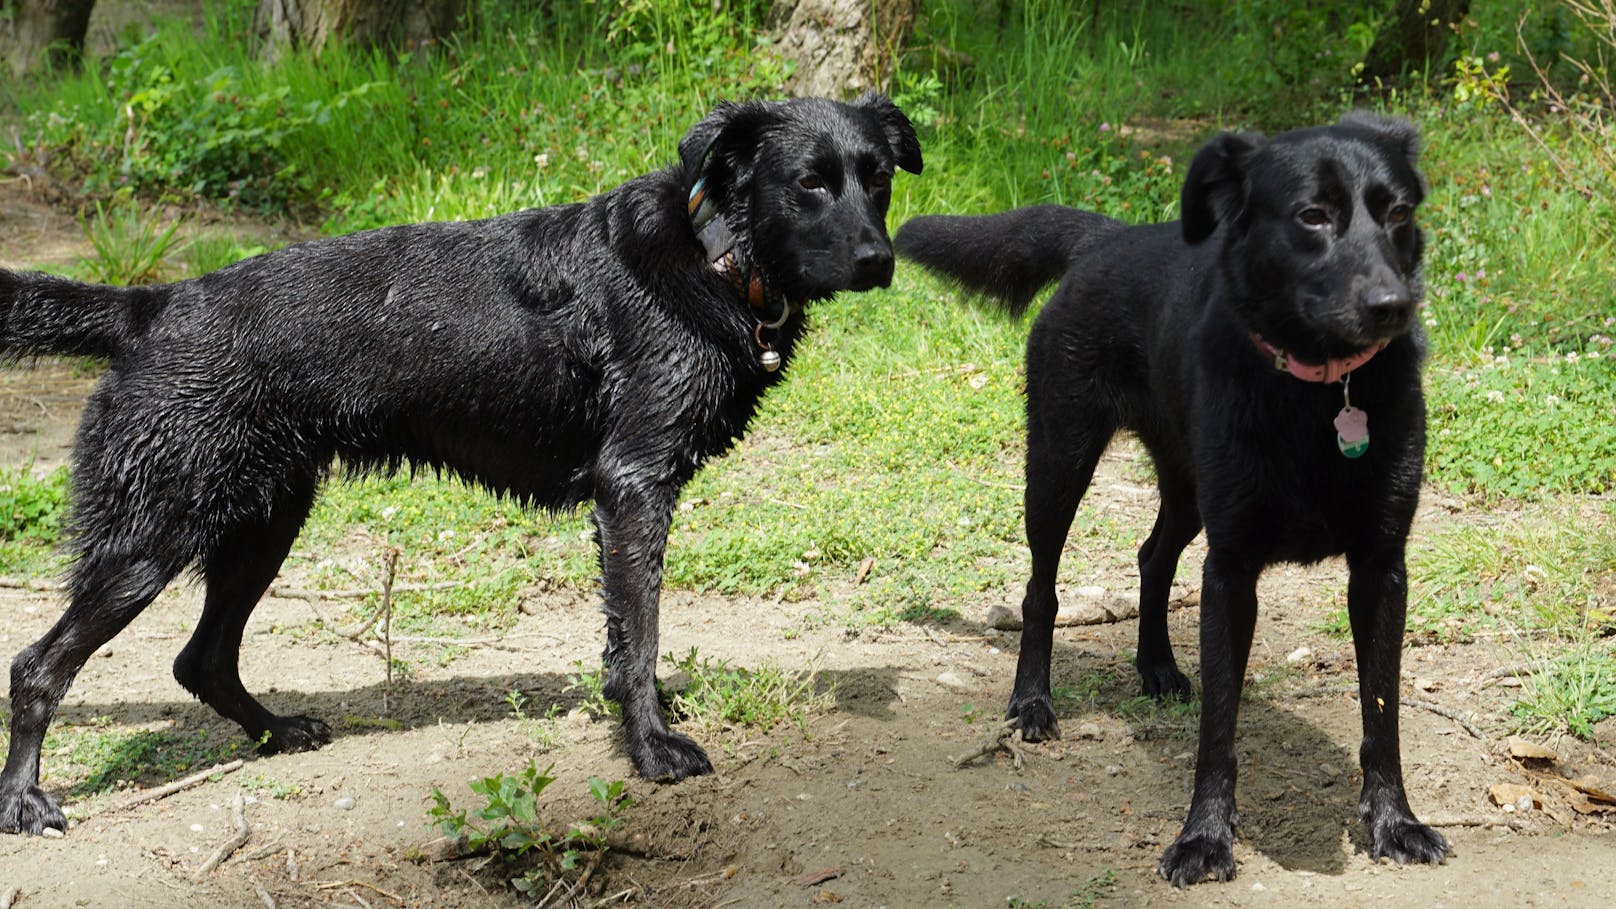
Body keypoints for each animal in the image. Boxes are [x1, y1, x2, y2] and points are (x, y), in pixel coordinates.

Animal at [3, 93, 924, 834]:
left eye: (877, 178)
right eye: (808, 182)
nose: (881, 262)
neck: (715, 253)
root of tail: (152, 304)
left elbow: (627, 642)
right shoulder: (633, 488)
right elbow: (638, 638)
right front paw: (651, 746)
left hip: (264, 523)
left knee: (201, 658)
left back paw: (279, 733)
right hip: (151, 540)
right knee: (37, 667)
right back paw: (24, 802)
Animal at [898, 113, 1454, 886]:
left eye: (1399, 212)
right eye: (1313, 215)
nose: (1392, 306)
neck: (1317, 394)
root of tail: (1105, 235)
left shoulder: (1380, 569)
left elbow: (1381, 711)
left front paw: (1394, 820)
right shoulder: (1231, 573)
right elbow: (1218, 728)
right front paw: (1204, 837)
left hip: (1187, 488)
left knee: (1151, 556)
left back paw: (1155, 663)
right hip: (1058, 464)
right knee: (1042, 589)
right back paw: (1032, 703)